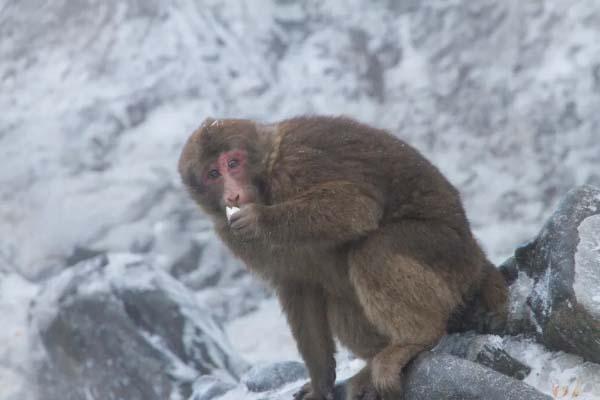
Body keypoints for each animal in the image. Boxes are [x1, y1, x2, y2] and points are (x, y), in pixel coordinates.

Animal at [177, 115, 506, 400]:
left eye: (233, 163)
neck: (267, 183)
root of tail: (479, 259)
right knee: (336, 301)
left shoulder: (296, 165)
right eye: (213, 174)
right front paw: (320, 383)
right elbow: (298, 287)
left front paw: (261, 219)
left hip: (450, 258)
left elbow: (356, 207)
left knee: (374, 249)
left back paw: (414, 340)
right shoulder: (232, 235)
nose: (232, 195)